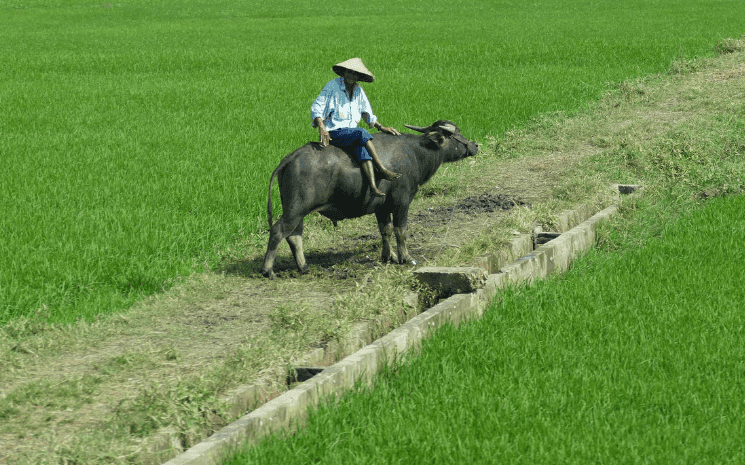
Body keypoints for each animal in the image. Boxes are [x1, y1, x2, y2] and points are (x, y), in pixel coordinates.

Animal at [260, 120, 476, 280]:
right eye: (456, 134)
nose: (475, 146)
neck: (416, 152)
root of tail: (291, 157)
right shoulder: (402, 203)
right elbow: (401, 231)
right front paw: (406, 258)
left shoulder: (382, 208)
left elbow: (385, 231)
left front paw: (389, 256)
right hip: (296, 209)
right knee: (279, 231)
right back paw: (268, 270)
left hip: (297, 210)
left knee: (295, 236)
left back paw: (303, 267)